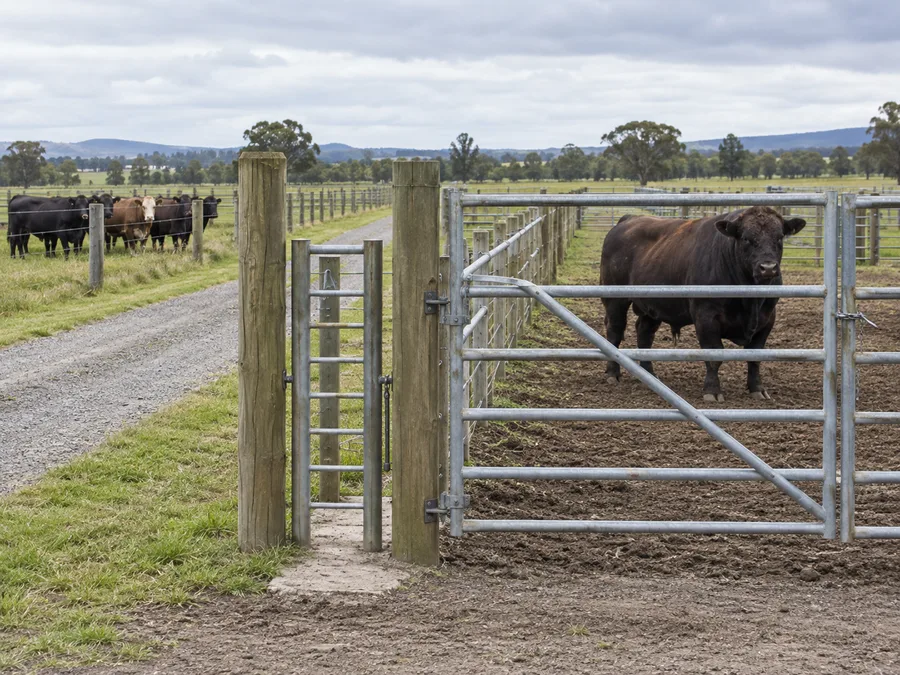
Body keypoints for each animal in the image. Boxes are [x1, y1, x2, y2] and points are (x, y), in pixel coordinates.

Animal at [599, 206, 806, 402]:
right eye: (746, 238)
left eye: (779, 237)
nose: (768, 268)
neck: (750, 299)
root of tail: (628, 218)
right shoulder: (706, 316)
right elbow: (714, 356)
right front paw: (712, 391)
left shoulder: (767, 318)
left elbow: (755, 357)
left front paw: (757, 389)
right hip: (615, 300)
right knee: (615, 332)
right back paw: (613, 374)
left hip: (651, 307)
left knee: (644, 334)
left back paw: (649, 374)